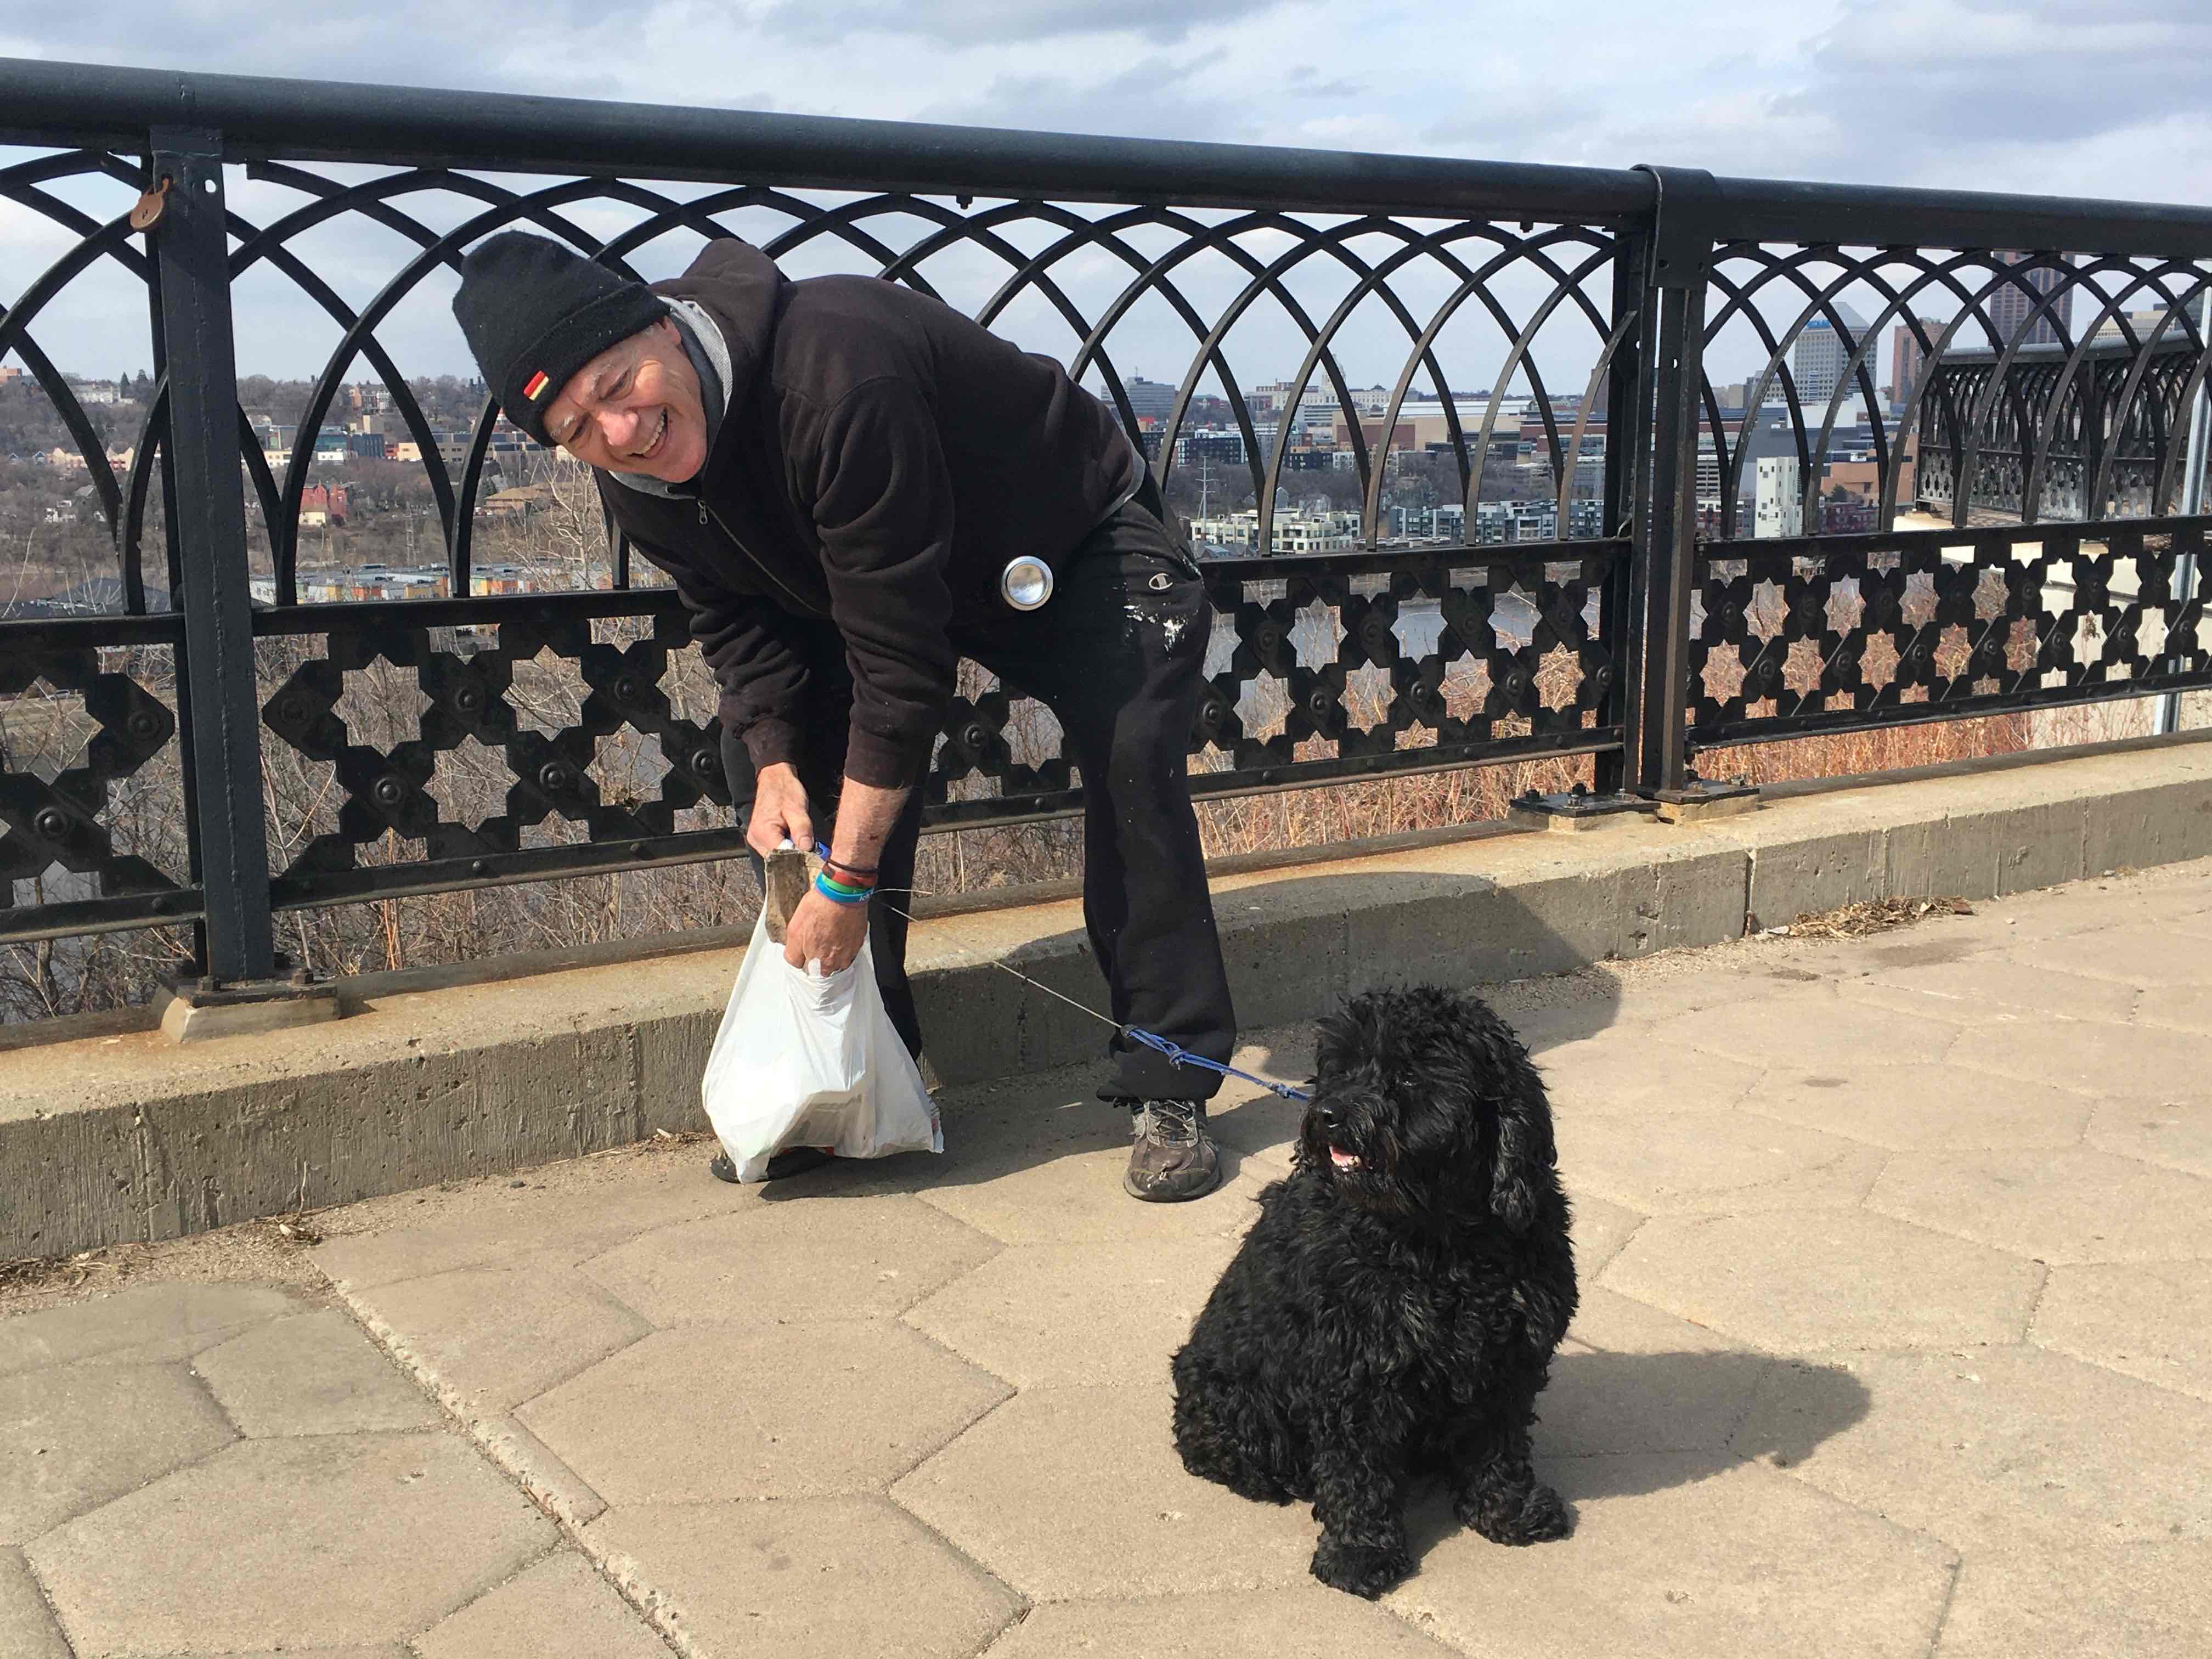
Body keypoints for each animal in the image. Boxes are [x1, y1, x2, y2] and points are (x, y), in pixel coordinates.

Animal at [1177, 986, 1575, 1601]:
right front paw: (1359, 1554)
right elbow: (1355, 1474)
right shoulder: (1352, 1375)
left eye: (1408, 1075)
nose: (1328, 1114)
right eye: (1339, 1069)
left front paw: (1508, 1510)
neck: (1436, 1237)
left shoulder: (1509, 1360)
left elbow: (1501, 1442)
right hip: (1237, 1401)